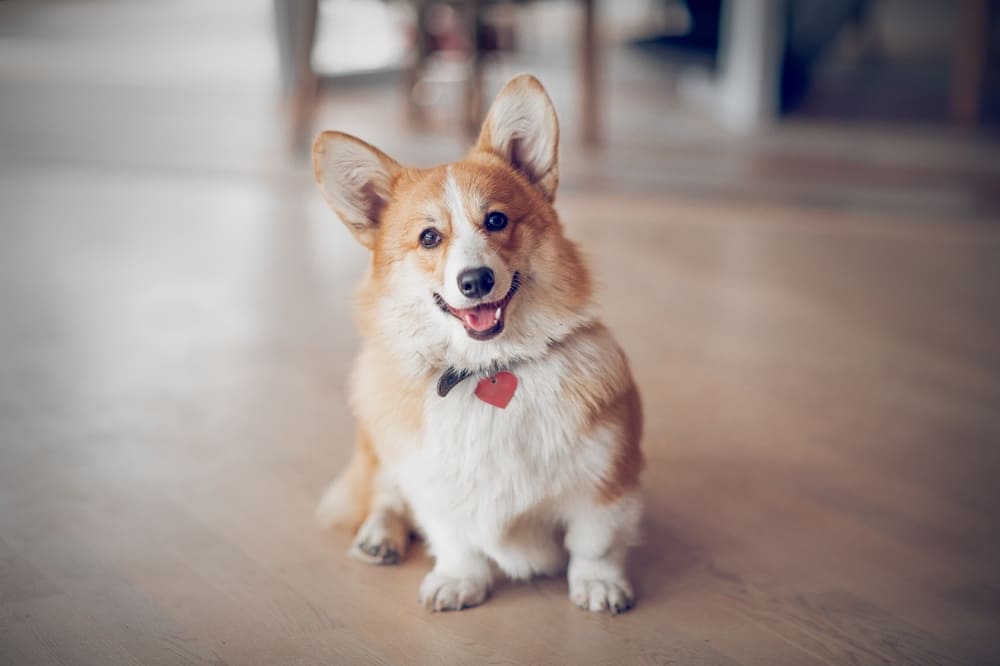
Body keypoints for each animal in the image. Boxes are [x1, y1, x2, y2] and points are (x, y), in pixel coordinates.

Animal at [308, 74, 644, 612]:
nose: (476, 281)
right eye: (428, 237)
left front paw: (598, 584)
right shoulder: (432, 484)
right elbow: (455, 539)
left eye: (496, 221)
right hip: (379, 443)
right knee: (384, 493)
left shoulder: (606, 481)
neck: (489, 366)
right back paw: (379, 537)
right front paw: (459, 579)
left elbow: (595, 543)